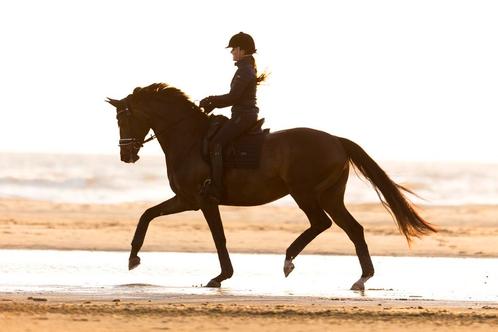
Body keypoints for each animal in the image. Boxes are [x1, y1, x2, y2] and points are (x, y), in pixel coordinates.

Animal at [106, 83, 436, 290]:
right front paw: (133, 258)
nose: (126, 155)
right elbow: (147, 215)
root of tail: (336, 140)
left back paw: (290, 260)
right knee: (352, 229)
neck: (188, 139)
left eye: (125, 119)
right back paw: (361, 279)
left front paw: (221, 276)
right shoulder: (186, 200)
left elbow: (218, 238)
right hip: (330, 196)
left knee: (321, 224)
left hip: (305, 194)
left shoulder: (202, 200)